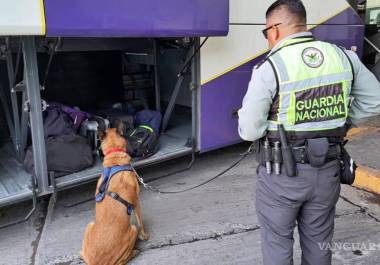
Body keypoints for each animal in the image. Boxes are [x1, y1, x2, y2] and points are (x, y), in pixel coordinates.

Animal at [81, 124, 149, 264]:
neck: (114, 159)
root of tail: (96, 262)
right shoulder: (136, 202)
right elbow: (140, 222)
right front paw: (144, 236)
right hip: (132, 229)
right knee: (124, 259)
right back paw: (135, 252)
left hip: (89, 225)